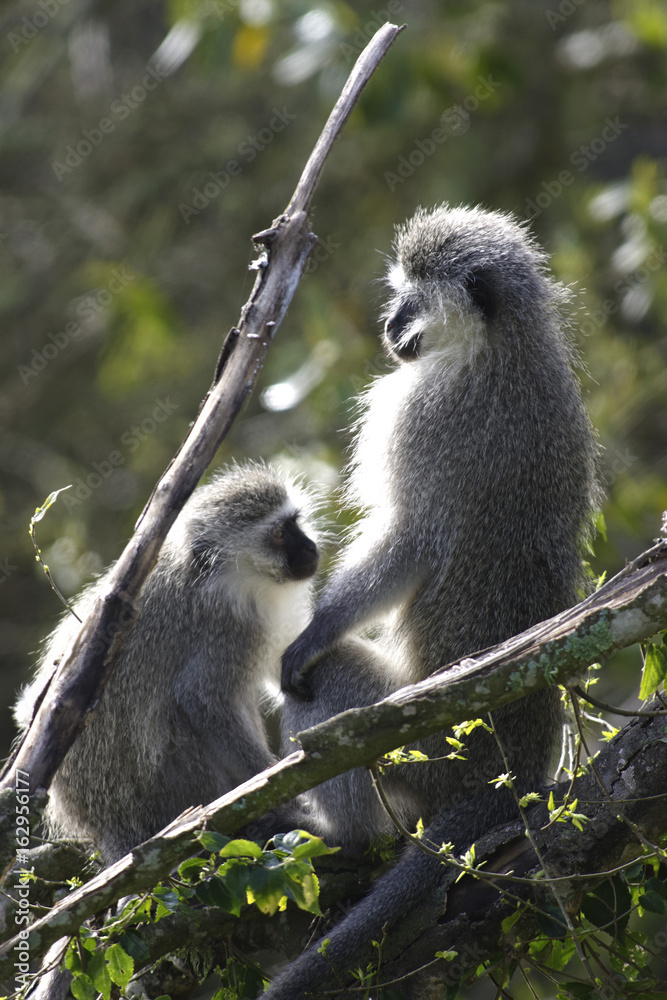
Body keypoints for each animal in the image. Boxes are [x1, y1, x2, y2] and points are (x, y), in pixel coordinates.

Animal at [14, 462, 320, 865]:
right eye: (280, 534)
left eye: (294, 522)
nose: (311, 548)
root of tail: (107, 824)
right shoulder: (228, 628)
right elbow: (203, 701)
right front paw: (287, 795)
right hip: (177, 784)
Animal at [270, 204, 600, 998]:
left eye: (411, 298)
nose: (389, 322)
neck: (500, 342)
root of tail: (511, 779)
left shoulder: (418, 412)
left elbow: (411, 543)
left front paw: (308, 636)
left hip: (422, 751)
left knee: (326, 692)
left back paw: (343, 835)